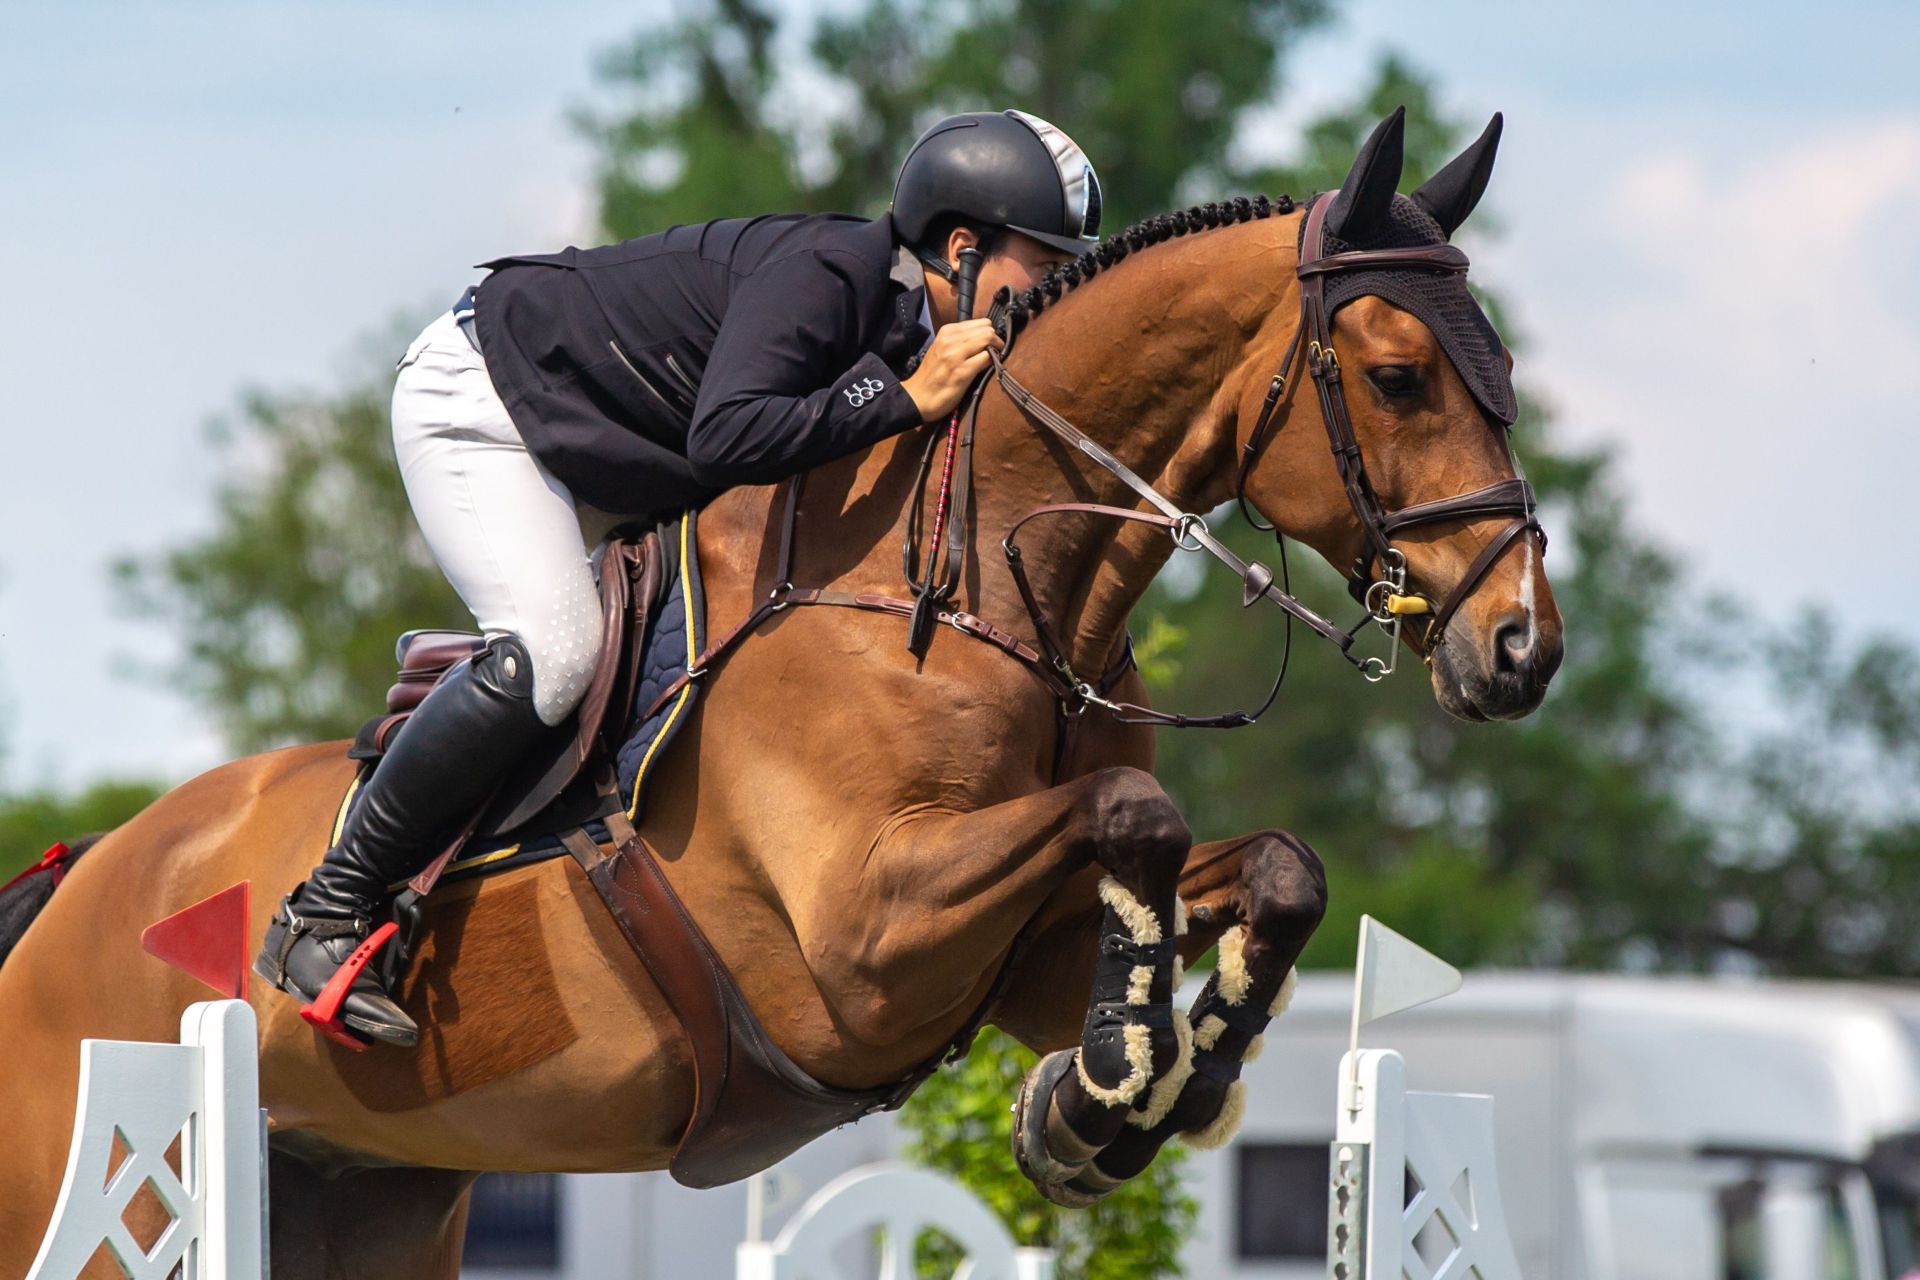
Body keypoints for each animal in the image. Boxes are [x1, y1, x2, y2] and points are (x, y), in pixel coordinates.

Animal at [0, 110, 1560, 1277]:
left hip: (365, 1190)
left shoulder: (1017, 954)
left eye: (1501, 372)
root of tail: (84, 876)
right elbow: (1130, 809)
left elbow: (1273, 869)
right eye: (1398, 376)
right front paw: (1118, 1079)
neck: (983, 585)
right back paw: (326, 940)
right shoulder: (863, 945)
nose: (1524, 648)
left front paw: (1113, 1101)